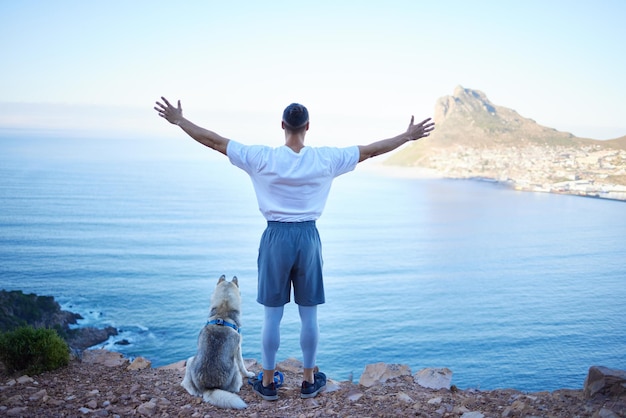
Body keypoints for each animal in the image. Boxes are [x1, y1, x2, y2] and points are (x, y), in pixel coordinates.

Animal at [179, 276, 255, 410]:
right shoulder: (238, 349)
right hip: (234, 367)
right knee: (235, 387)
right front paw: (249, 374)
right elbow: (243, 366)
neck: (222, 313)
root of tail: (209, 388)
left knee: (187, 385)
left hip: (190, 360)